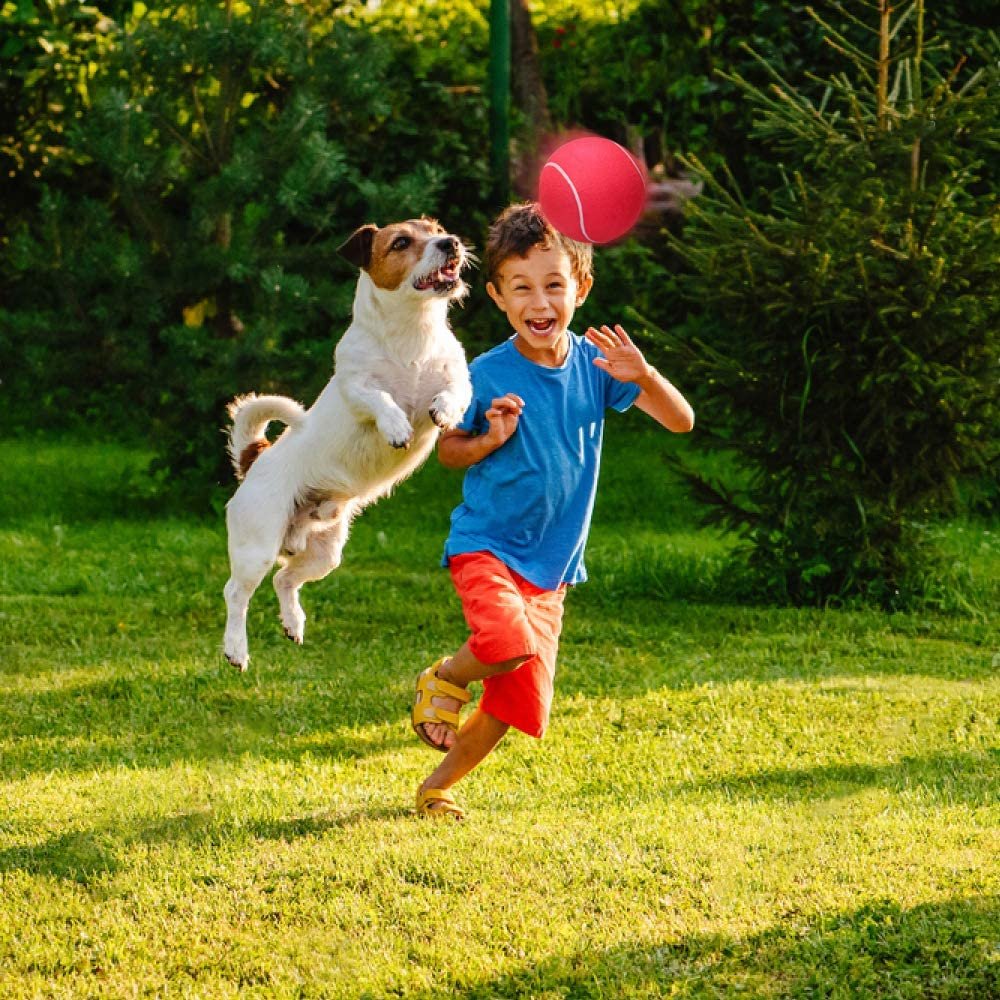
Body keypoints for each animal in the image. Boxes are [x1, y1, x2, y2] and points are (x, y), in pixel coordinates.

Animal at [225, 219, 474, 672]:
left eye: (437, 229)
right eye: (401, 242)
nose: (451, 243)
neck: (412, 333)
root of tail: (256, 459)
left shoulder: (458, 378)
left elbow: (453, 392)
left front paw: (443, 411)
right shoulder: (356, 388)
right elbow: (379, 399)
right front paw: (395, 425)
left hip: (325, 553)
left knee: (284, 578)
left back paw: (293, 623)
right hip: (258, 545)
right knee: (237, 593)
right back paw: (236, 649)